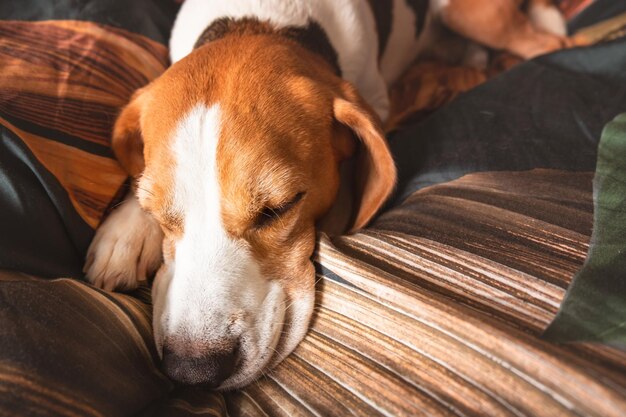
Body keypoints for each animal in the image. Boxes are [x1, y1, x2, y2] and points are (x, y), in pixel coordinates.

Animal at [84, 0, 580, 390]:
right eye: (159, 213)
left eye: (280, 208)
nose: (193, 371)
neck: (261, 20)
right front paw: (127, 231)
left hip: (473, 12)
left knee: (549, 45)